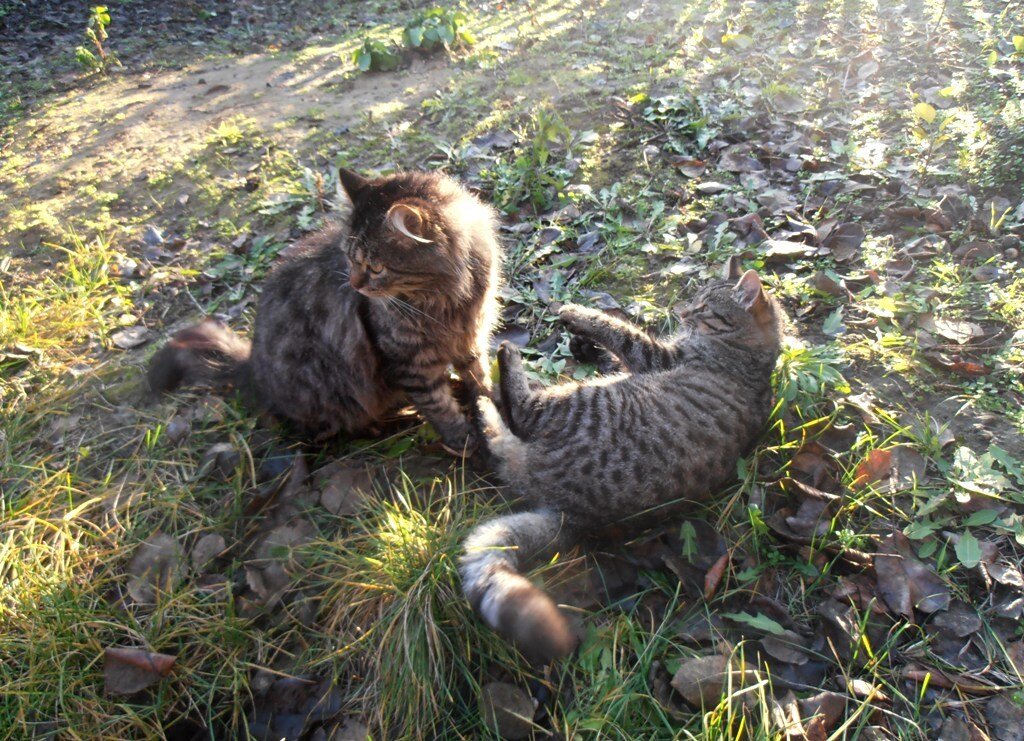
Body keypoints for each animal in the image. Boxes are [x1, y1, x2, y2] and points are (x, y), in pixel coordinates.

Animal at [148, 169, 499, 454]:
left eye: (376, 267)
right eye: (349, 258)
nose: (354, 285)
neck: (448, 298)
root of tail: (252, 368)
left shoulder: (471, 336)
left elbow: (478, 376)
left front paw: (492, 404)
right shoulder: (408, 363)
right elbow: (438, 406)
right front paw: (463, 438)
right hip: (335, 392)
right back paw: (389, 421)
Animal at [458, 266, 782, 667]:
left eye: (704, 306)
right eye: (695, 298)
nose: (683, 311)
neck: (756, 355)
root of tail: (571, 517)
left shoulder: (657, 357)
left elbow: (621, 331)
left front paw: (577, 314)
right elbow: (615, 355)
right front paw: (587, 347)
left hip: (578, 402)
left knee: (517, 416)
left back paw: (497, 377)